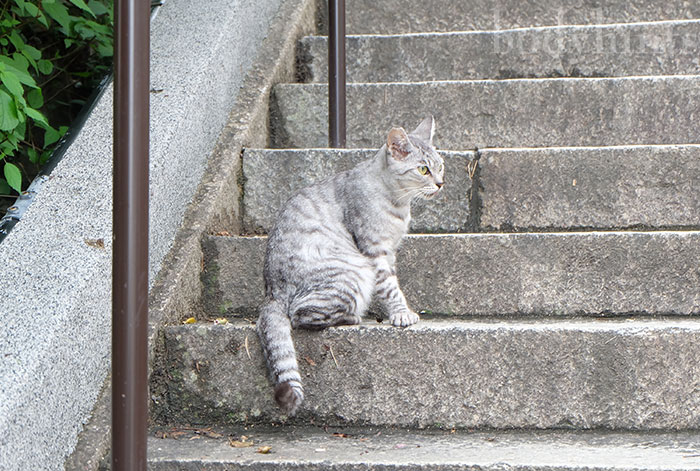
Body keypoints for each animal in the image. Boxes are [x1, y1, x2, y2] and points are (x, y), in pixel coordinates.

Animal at [256, 116, 442, 414]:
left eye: (440, 166)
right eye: (423, 169)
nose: (440, 183)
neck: (399, 205)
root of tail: (271, 294)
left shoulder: (389, 251)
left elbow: (390, 283)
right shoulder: (375, 251)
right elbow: (390, 287)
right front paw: (402, 314)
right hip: (352, 273)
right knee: (301, 315)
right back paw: (352, 316)